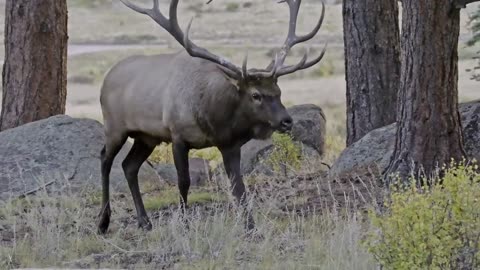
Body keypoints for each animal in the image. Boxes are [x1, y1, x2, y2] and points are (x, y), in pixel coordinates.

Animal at [99, 0, 328, 233]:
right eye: (255, 95)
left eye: (279, 91)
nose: (286, 121)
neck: (213, 119)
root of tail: (107, 78)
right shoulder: (178, 136)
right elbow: (184, 181)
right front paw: (184, 223)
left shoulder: (229, 144)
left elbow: (238, 186)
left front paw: (250, 227)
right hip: (114, 126)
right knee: (105, 159)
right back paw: (103, 221)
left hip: (147, 137)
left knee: (129, 166)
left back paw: (144, 221)